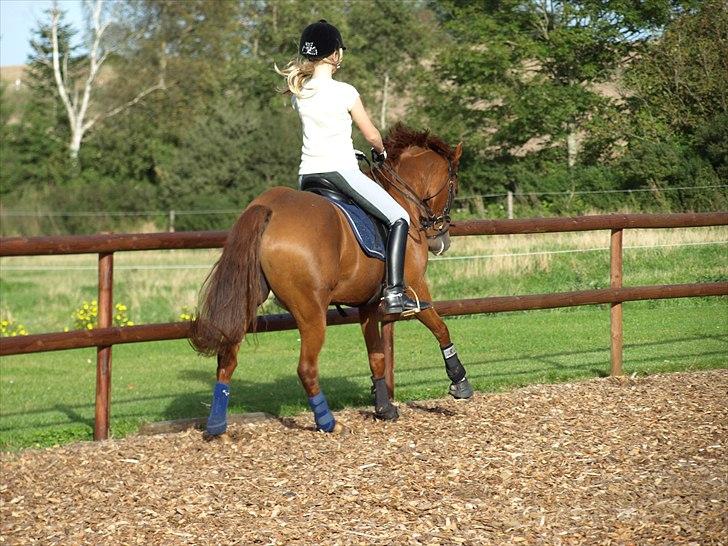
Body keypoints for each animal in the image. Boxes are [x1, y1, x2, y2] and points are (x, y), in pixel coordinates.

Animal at [190, 123, 473, 436]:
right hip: (311, 311)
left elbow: (377, 356)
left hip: (248, 300)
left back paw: (217, 425)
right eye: (454, 185)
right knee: (306, 367)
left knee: (227, 357)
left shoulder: (367, 305)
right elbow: (441, 328)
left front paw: (384, 408)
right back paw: (327, 422)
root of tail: (270, 208)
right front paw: (460, 382)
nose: (441, 240)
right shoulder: (416, 289)